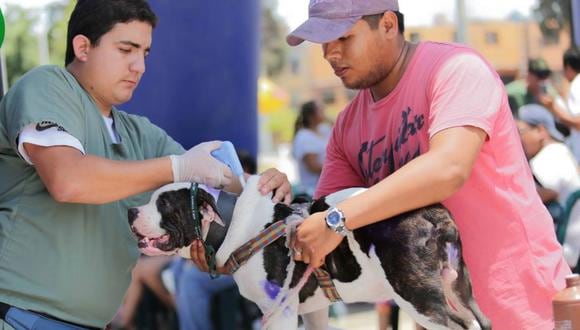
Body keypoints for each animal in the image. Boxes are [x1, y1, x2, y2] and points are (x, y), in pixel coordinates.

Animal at [128, 177, 490, 328]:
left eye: (164, 204)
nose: (131, 210)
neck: (231, 225)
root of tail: (431, 213)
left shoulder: (279, 312)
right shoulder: (314, 309)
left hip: (417, 297)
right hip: (457, 287)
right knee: (482, 320)